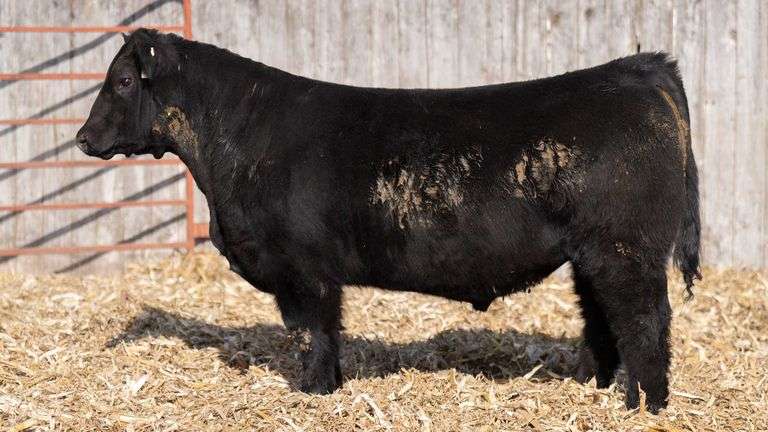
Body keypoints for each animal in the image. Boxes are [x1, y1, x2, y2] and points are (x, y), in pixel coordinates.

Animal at [76, 29, 701, 413]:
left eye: (124, 81)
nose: (82, 138)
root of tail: (641, 69)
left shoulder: (303, 270)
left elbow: (312, 334)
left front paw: (313, 393)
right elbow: (325, 334)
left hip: (625, 251)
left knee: (645, 323)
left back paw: (645, 406)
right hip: (594, 257)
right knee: (605, 323)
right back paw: (602, 390)